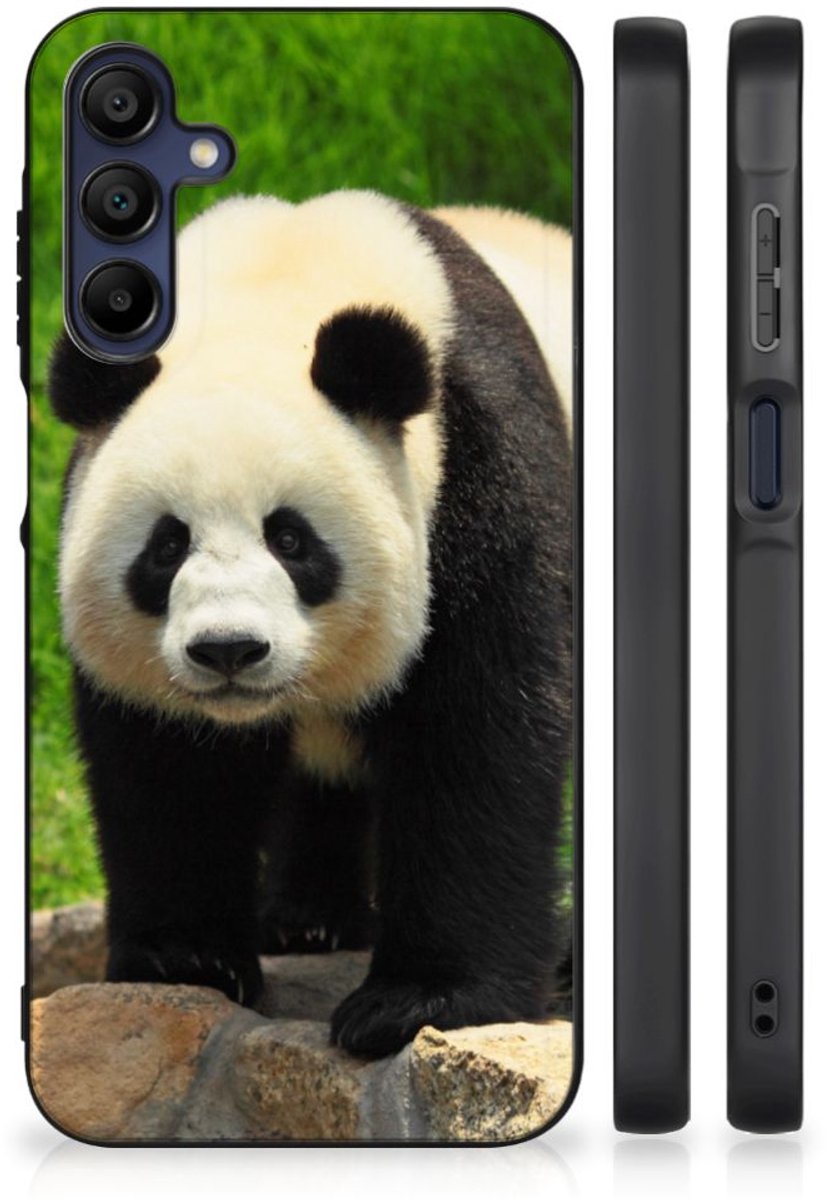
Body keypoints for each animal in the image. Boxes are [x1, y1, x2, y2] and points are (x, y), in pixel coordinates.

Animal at [49, 190, 573, 1058]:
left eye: (290, 539)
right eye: (166, 545)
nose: (228, 650)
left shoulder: (481, 472)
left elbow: (479, 733)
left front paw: (419, 1001)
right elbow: (169, 765)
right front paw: (185, 959)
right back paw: (307, 919)